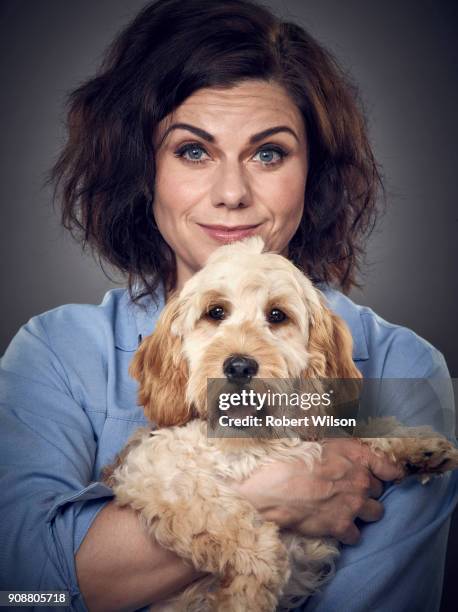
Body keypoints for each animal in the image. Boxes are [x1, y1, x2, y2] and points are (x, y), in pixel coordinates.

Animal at [104, 238, 458, 612]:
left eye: (277, 315)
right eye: (215, 312)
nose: (239, 366)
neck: (255, 439)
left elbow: (356, 428)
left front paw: (417, 447)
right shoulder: (154, 473)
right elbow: (226, 519)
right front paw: (252, 584)